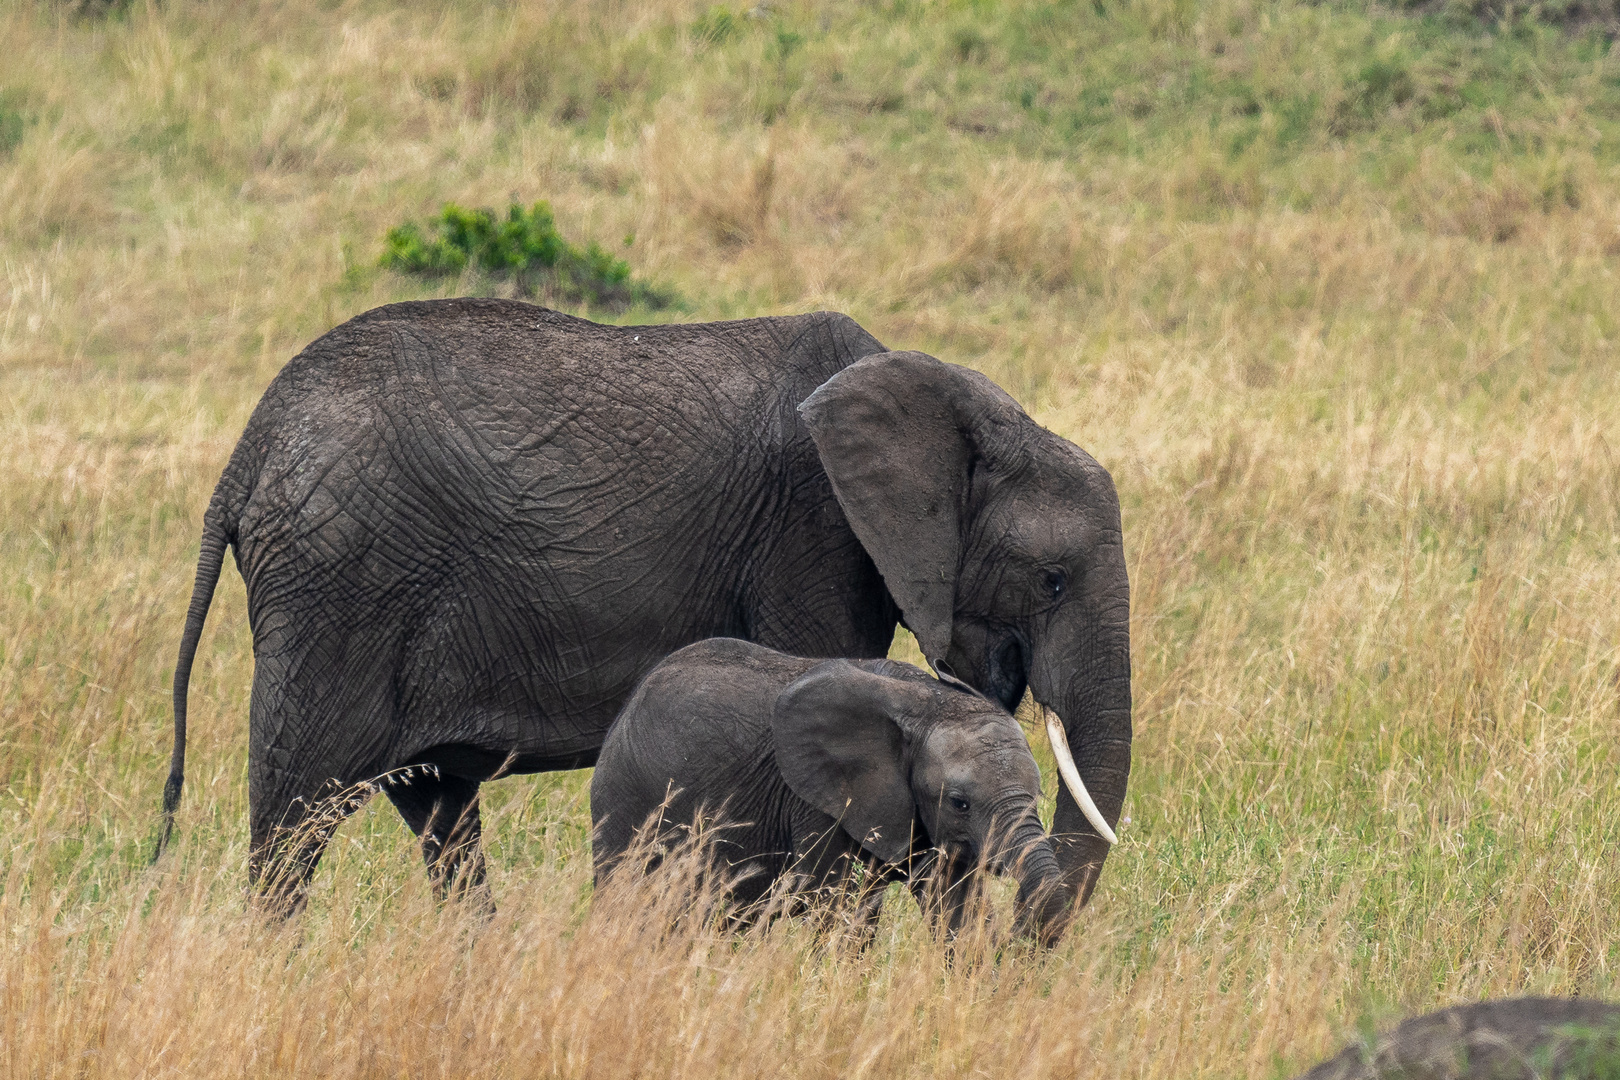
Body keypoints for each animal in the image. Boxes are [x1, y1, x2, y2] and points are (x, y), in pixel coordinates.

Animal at [589, 637, 1069, 939]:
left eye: (1039, 796)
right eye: (959, 803)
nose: (1021, 935)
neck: (926, 701)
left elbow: (956, 906)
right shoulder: (819, 802)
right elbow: (840, 910)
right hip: (625, 797)